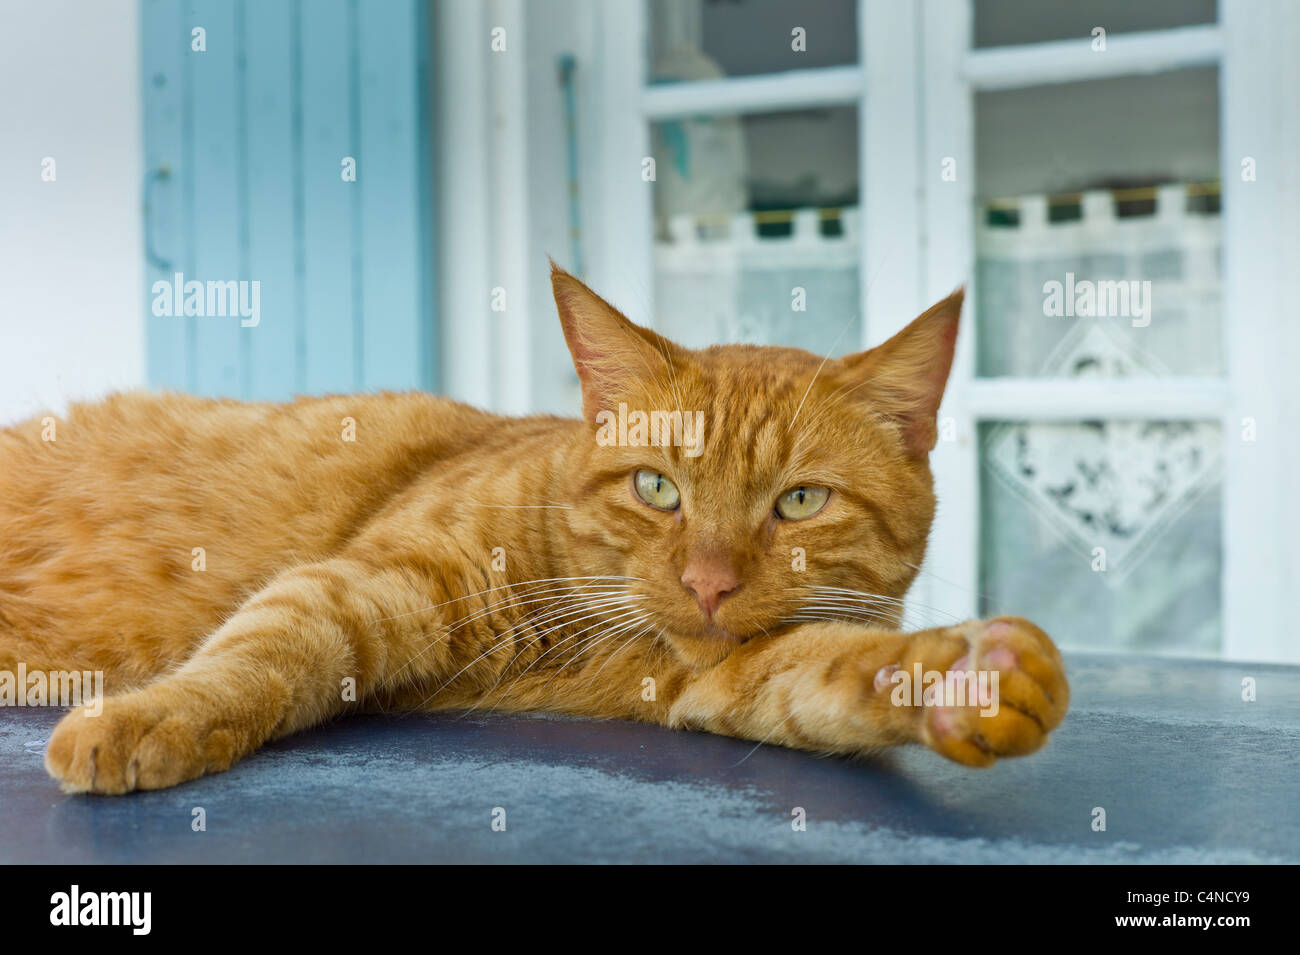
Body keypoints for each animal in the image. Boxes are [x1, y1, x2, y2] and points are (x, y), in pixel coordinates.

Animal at [0, 265, 1066, 795]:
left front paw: (968, 676)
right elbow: (257, 653)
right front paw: (143, 717)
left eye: (800, 502)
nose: (709, 583)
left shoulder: (715, 673)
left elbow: (820, 675)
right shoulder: (361, 579)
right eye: (658, 487)